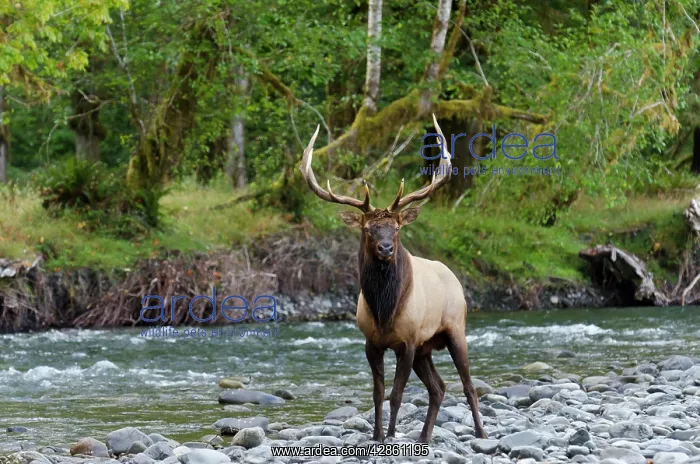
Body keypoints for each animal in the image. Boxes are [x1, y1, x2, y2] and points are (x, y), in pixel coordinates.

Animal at [299, 115, 486, 444]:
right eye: (367, 229)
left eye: (396, 229)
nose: (385, 248)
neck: (384, 310)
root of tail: (454, 277)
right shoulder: (372, 342)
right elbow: (378, 393)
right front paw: (376, 435)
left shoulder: (407, 342)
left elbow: (397, 395)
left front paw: (390, 434)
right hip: (426, 348)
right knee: (439, 388)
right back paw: (424, 437)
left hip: (455, 329)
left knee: (468, 385)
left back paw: (480, 432)